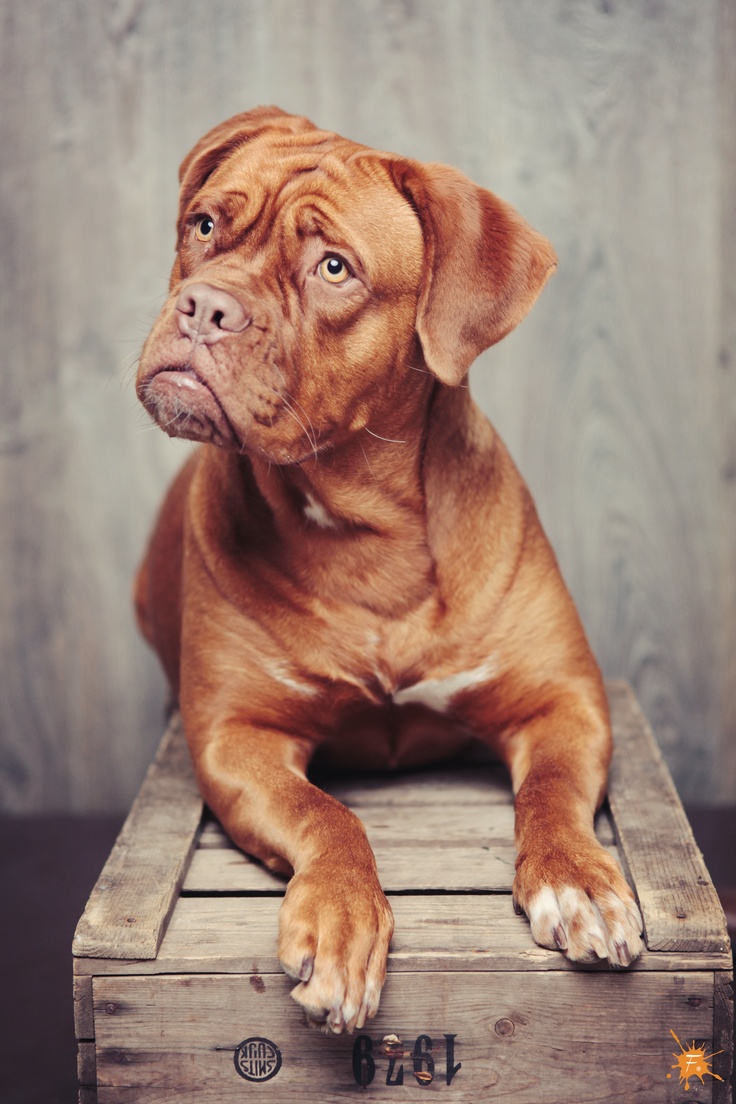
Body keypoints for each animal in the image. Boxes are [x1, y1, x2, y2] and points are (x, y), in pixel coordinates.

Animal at [135, 103, 640, 1033]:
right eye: (205, 226)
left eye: (333, 268)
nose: (205, 305)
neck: (365, 532)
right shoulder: (237, 737)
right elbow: (325, 812)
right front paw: (341, 916)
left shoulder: (564, 702)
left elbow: (552, 788)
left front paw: (577, 880)